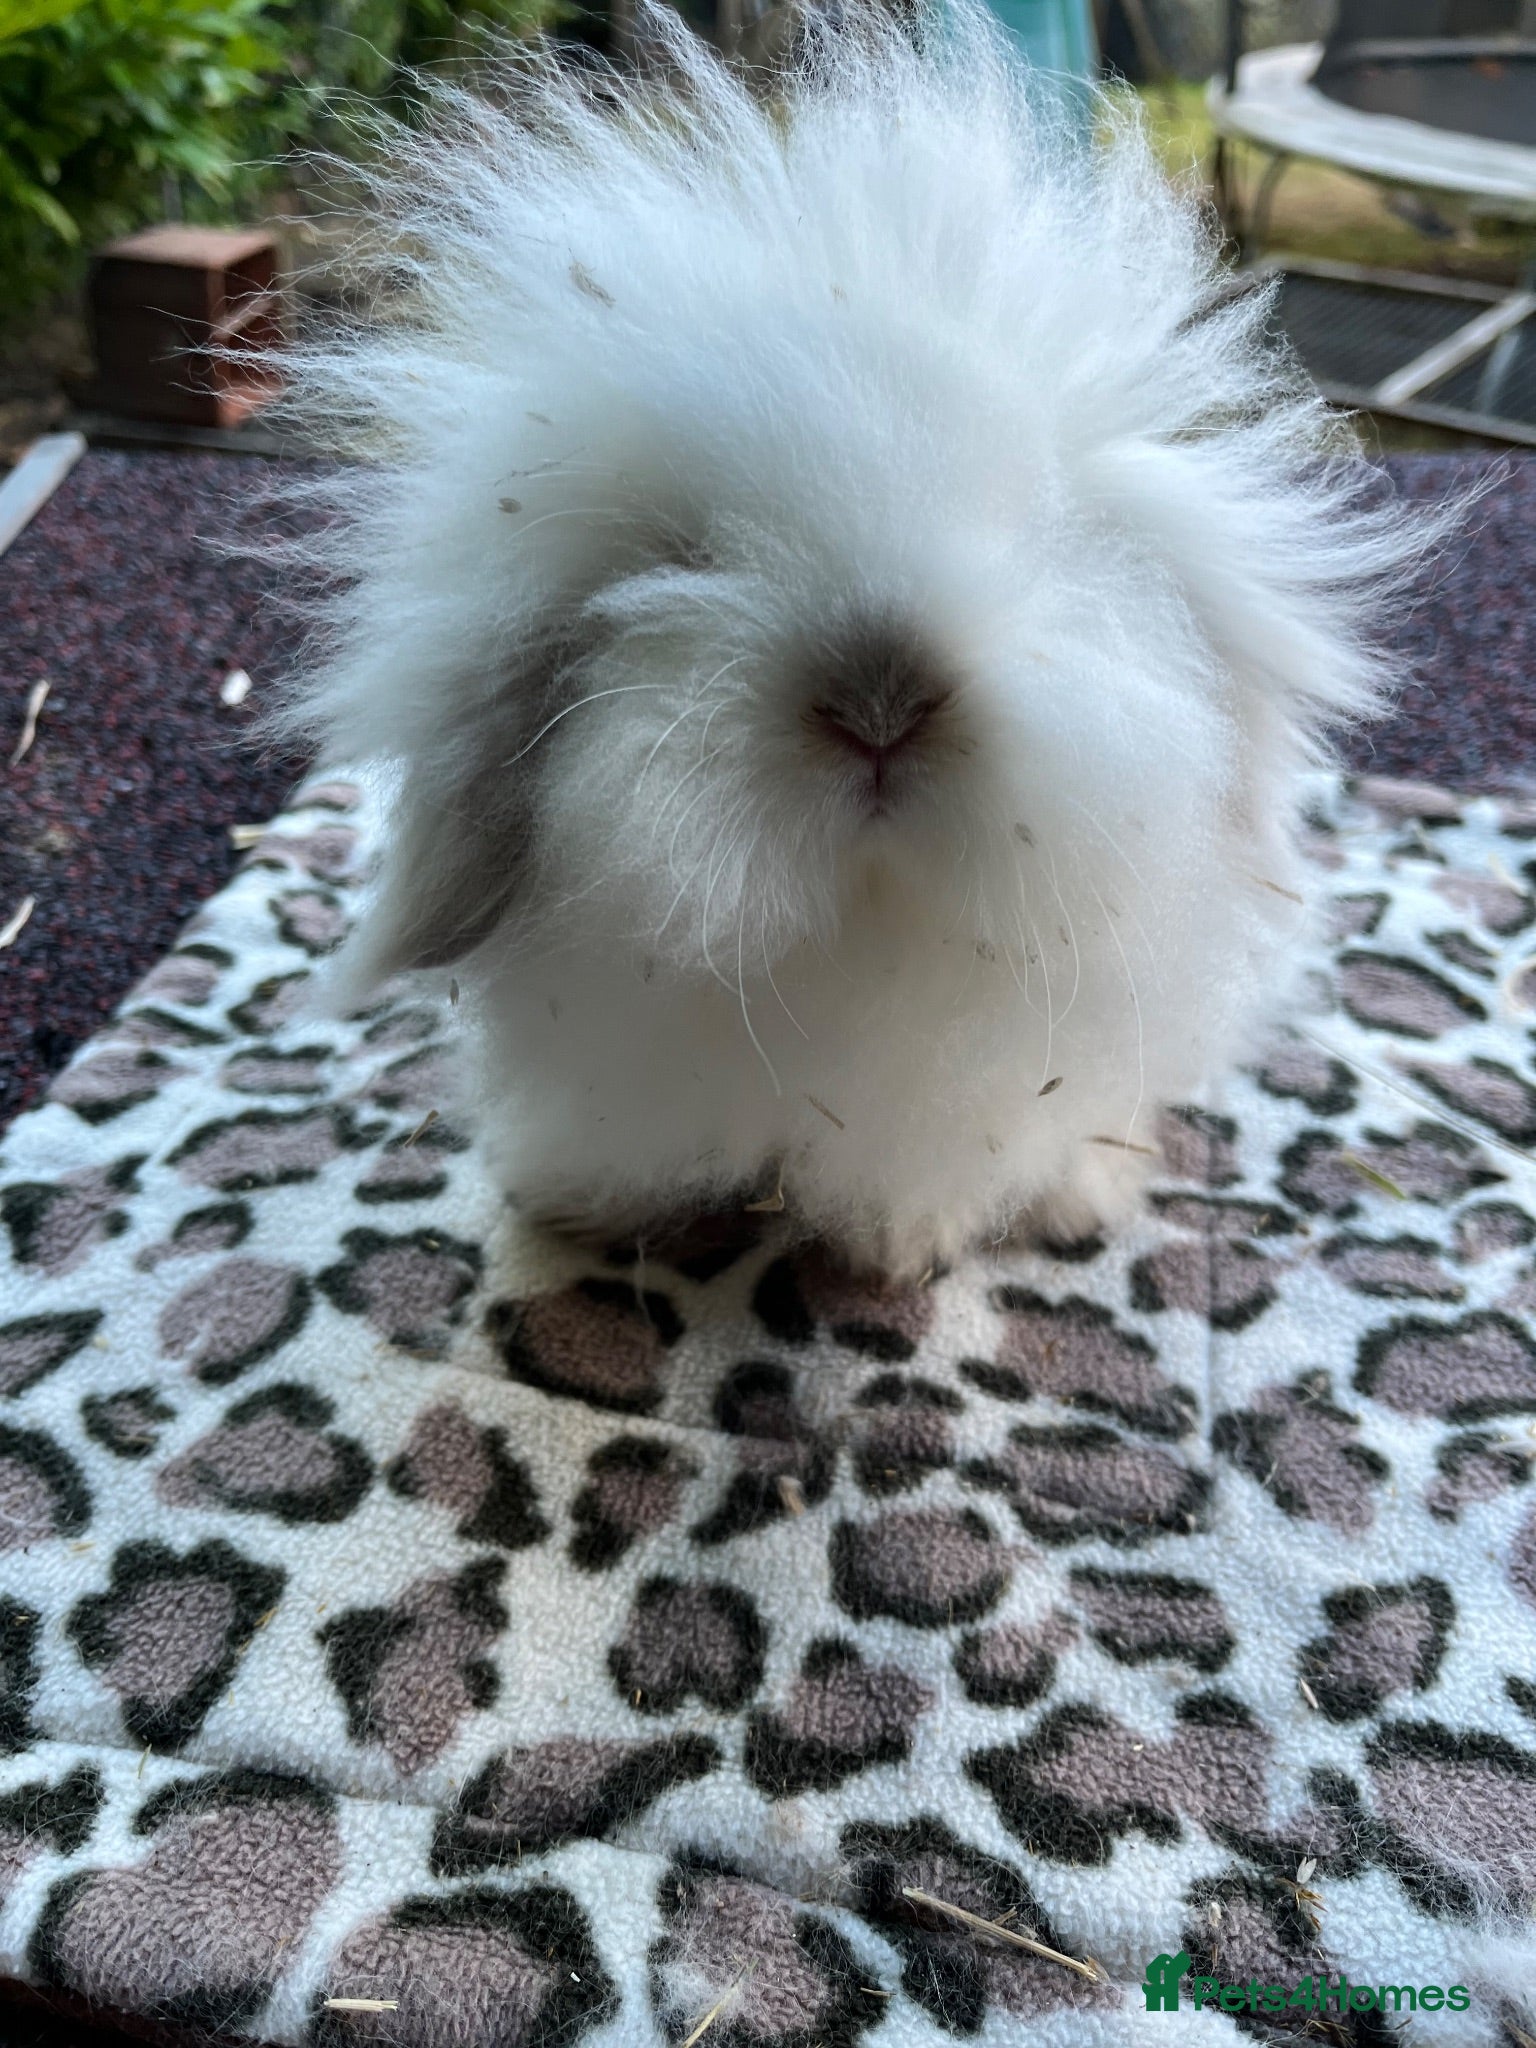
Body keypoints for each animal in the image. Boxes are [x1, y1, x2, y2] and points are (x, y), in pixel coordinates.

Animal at [274, 0, 1437, 1279]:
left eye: (1041, 526)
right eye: (679, 552)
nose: (879, 704)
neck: (869, 944)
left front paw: (948, 1238)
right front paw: (567, 1206)